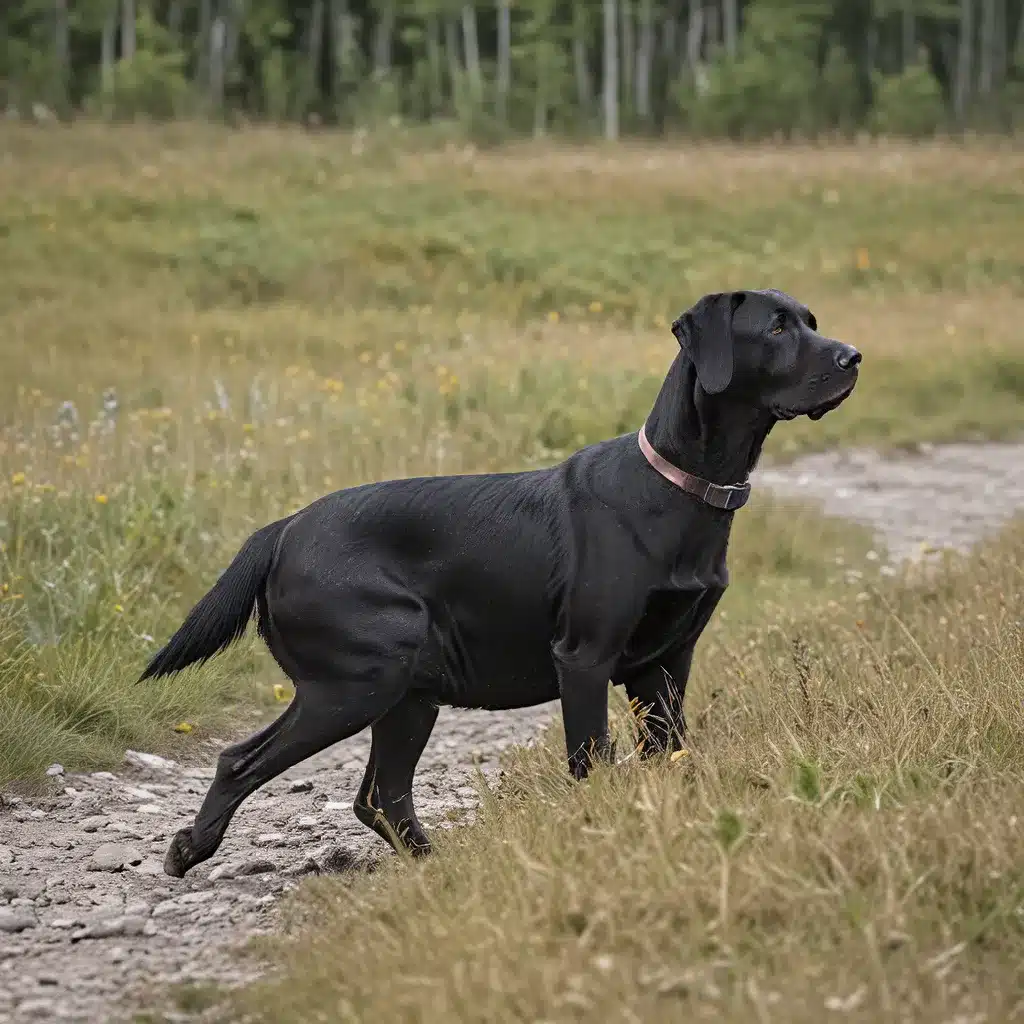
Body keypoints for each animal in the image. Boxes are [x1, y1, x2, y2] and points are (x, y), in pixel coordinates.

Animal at [142, 290, 856, 880]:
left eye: (813, 320)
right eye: (777, 327)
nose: (854, 357)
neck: (677, 488)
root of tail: (283, 530)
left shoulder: (665, 663)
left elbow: (669, 755)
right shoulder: (586, 659)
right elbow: (591, 760)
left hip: (408, 695)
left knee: (381, 796)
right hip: (356, 681)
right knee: (243, 761)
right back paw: (189, 850)